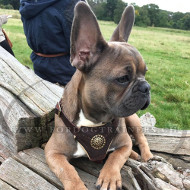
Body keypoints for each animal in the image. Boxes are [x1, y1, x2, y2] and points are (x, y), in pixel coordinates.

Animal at [45, 1, 153, 190]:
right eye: (123, 79)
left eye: (145, 73)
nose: (146, 87)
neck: (94, 122)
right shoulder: (53, 152)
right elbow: (68, 171)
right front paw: (77, 186)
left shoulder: (123, 144)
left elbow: (116, 156)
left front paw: (109, 176)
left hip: (133, 119)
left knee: (140, 138)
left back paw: (144, 154)